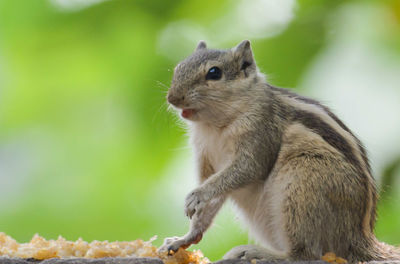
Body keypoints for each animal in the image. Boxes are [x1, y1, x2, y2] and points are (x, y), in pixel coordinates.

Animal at [159, 40, 400, 262]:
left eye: (214, 72)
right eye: (178, 67)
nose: (172, 98)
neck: (215, 125)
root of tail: (359, 238)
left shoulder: (261, 135)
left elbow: (246, 170)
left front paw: (197, 196)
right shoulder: (207, 158)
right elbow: (213, 197)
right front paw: (185, 238)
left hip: (303, 183)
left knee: (305, 255)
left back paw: (261, 253)